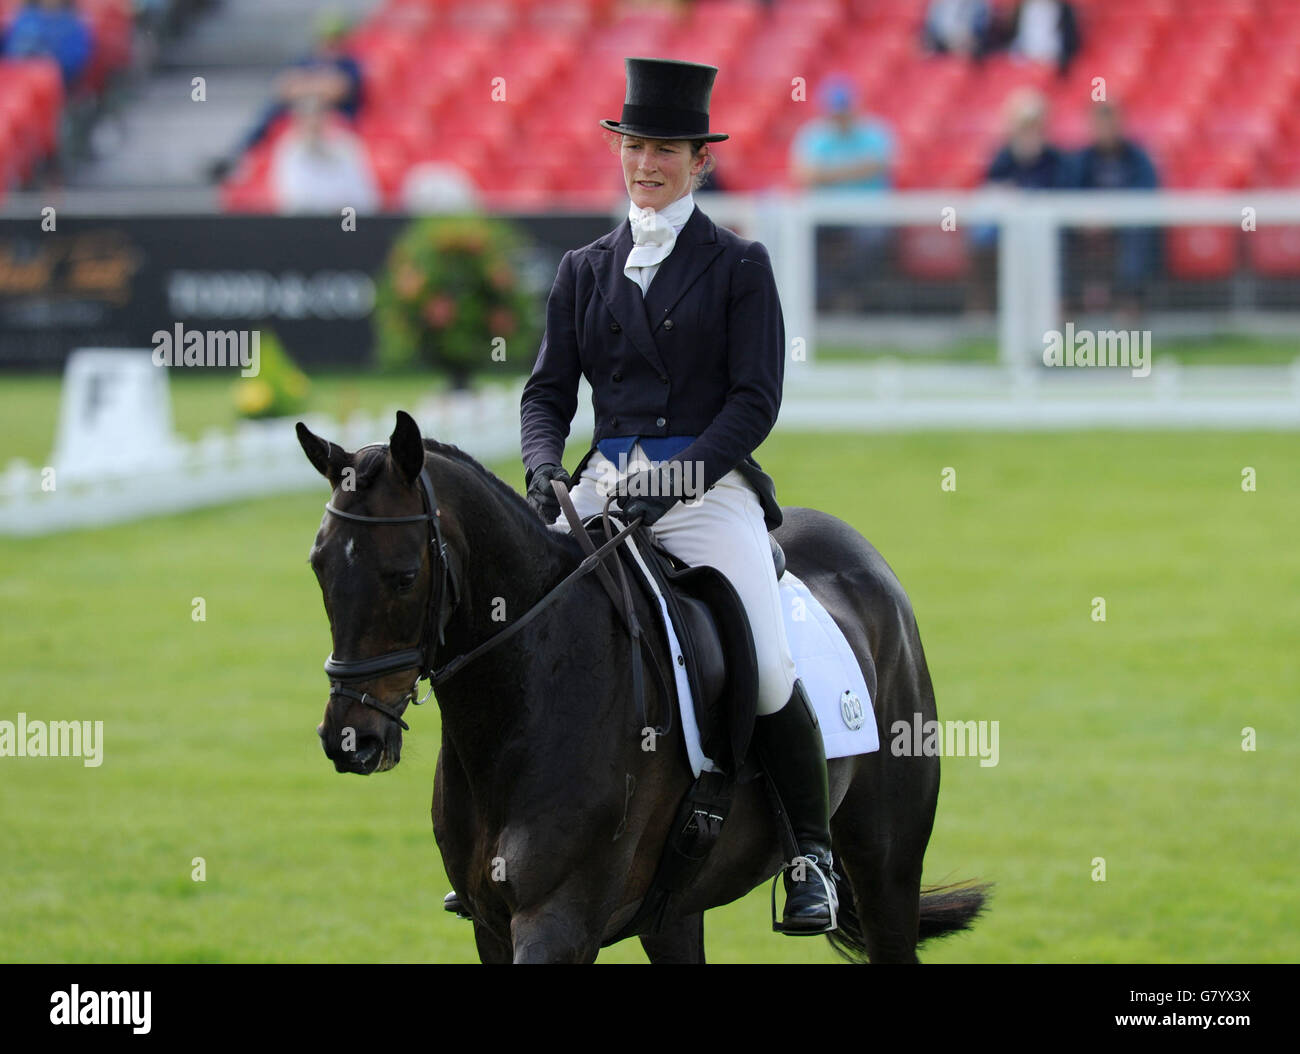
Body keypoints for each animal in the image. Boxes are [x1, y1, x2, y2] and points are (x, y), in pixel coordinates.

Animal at [295, 413, 982, 966]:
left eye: (403, 576)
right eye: (319, 565)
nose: (349, 739)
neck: (528, 693)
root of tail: (864, 558)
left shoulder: (558, 922)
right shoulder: (491, 925)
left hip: (888, 866)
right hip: (676, 909)